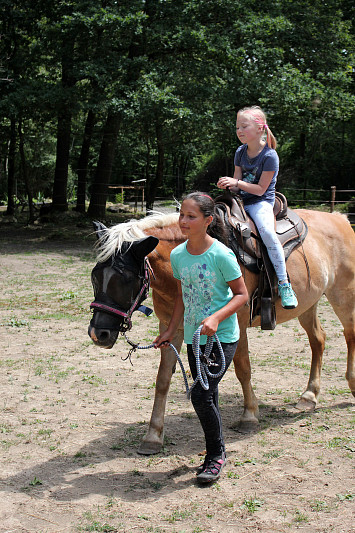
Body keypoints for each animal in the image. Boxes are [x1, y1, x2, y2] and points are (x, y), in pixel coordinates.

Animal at [88, 208, 355, 454]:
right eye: (94, 275)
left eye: (127, 278)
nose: (98, 334)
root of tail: (339, 218)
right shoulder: (171, 329)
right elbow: (163, 380)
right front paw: (153, 435)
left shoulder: (238, 325)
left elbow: (243, 369)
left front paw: (249, 415)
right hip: (308, 304)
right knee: (318, 340)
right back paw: (309, 396)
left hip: (342, 296)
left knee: (349, 334)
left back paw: (350, 384)